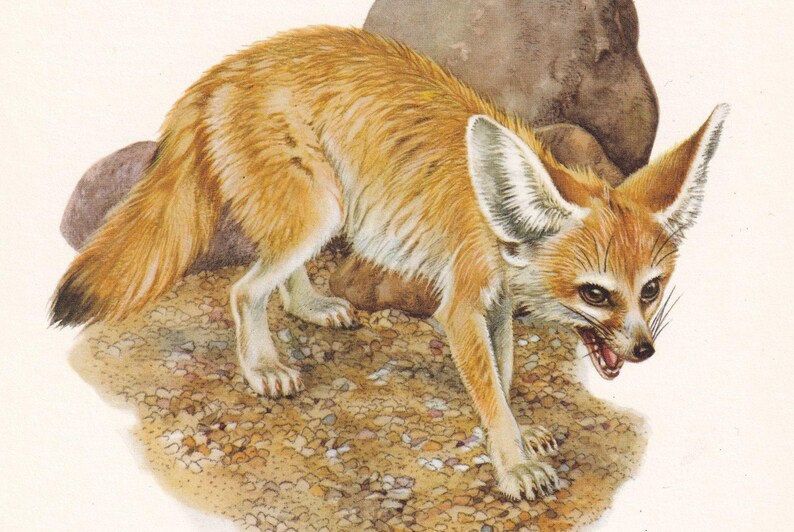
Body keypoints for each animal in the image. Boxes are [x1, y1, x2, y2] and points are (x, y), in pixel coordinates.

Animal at [50, 26, 727, 500]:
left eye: (650, 290)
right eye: (596, 293)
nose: (644, 350)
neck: (496, 217)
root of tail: (229, 65)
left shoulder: (497, 304)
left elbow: (505, 375)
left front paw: (520, 428)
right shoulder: (461, 307)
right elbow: (489, 388)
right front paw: (514, 464)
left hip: (325, 209)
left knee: (277, 275)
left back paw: (311, 306)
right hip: (317, 208)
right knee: (244, 290)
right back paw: (263, 366)